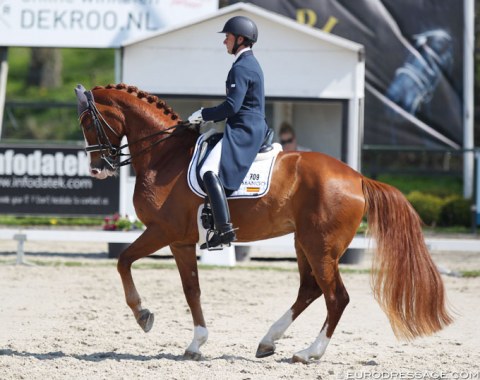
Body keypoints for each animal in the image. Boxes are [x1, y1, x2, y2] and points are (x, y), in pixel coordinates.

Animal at [76, 84, 454, 364]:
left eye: (88, 123)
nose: (97, 169)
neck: (165, 156)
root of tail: (358, 177)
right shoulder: (180, 240)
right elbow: (191, 289)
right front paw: (196, 343)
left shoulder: (162, 231)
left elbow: (123, 260)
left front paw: (143, 315)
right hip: (304, 242)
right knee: (310, 290)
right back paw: (268, 341)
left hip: (320, 246)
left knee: (336, 297)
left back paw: (309, 352)